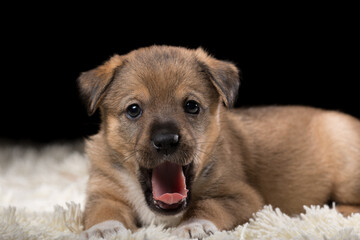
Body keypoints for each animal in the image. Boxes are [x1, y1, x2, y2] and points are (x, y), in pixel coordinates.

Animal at [76, 45, 360, 238]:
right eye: (134, 110)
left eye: (191, 106)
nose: (166, 141)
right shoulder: (102, 191)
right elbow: (103, 211)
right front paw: (105, 229)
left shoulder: (241, 197)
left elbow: (209, 206)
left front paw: (195, 226)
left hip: (347, 175)